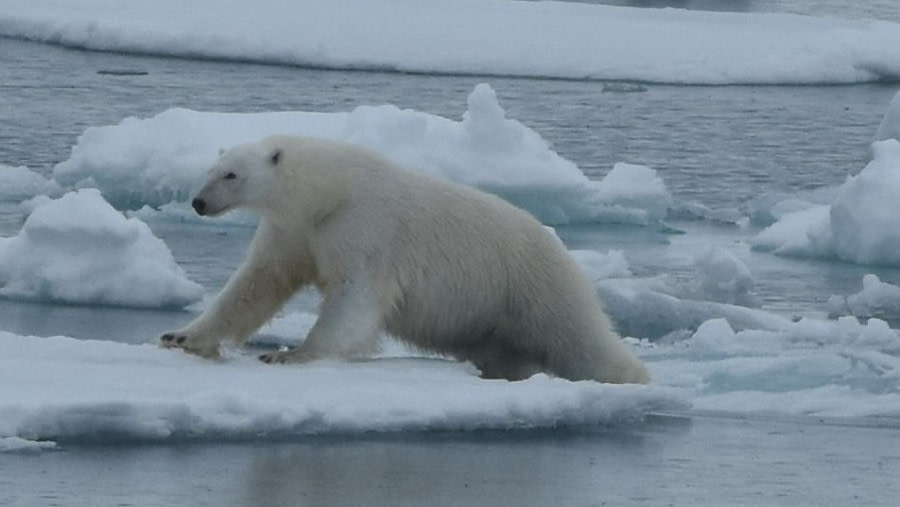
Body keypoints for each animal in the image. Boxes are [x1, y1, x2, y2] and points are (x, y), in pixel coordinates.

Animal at [162, 137, 652, 382]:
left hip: (533, 287)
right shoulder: (294, 232)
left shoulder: (365, 227)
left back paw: (631, 377)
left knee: (581, 341)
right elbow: (257, 283)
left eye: (231, 174)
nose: (199, 203)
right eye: (210, 170)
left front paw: (292, 355)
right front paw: (180, 336)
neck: (331, 191)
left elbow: (355, 297)